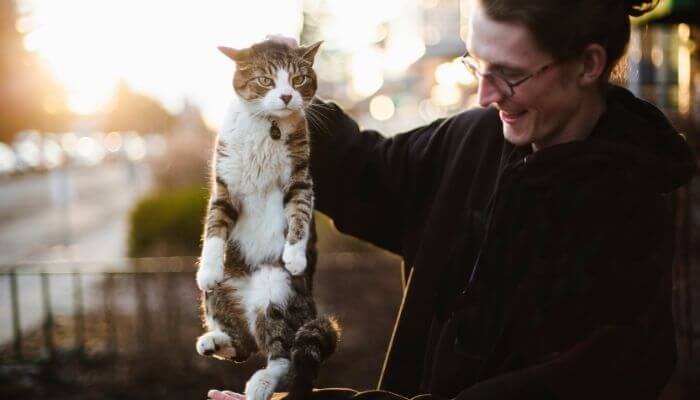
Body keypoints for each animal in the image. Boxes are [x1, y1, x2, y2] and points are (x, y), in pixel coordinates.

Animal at [196, 39, 340, 400]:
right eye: (265, 81)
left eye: (299, 79)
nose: (287, 96)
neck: (266, 125)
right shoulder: (225, 184)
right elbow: (214, 227)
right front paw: (207, 268)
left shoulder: (300, 179)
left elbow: (300, 214)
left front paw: (295, 255)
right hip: (221, 293)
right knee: (244, 345)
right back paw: (214, 340)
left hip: (277, 291)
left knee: (283, 355)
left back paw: (261, 383)